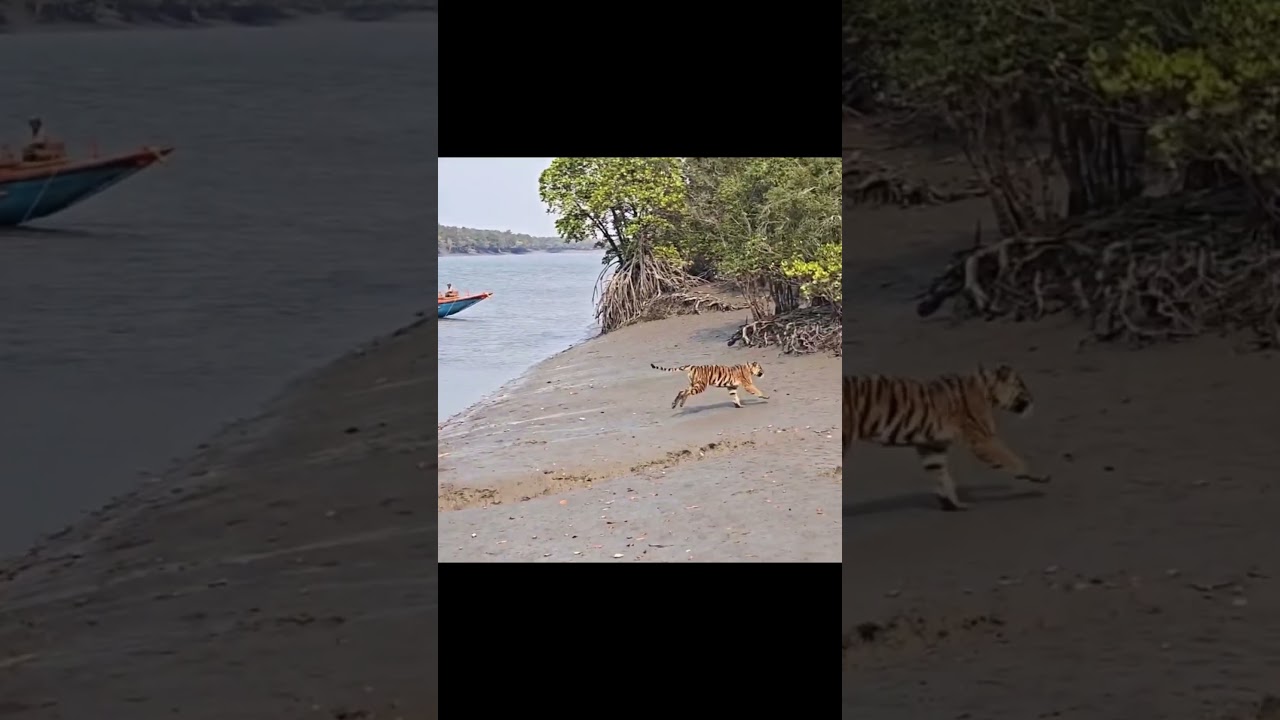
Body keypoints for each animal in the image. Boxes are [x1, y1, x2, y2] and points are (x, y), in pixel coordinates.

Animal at [842, 364, 1050, 511]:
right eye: (1022, 385)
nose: (1033, 399)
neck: (987, 391)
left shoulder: (933, 446)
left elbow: (942, 476)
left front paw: (953, 505)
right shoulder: (983, 439)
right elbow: (1012, 458)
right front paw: (1039, 476)